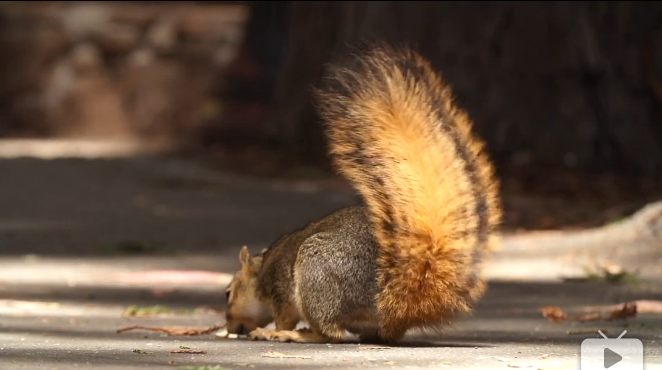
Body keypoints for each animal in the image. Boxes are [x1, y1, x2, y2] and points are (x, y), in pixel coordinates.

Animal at [224, 44, 504, 344]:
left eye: (228, 293)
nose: (229, 327)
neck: (263, 267)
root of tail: (397, 304)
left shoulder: (278, 287)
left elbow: (283, 316)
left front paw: (271, 330)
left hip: (315, 272)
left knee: (329, 333)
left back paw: (294, 335)